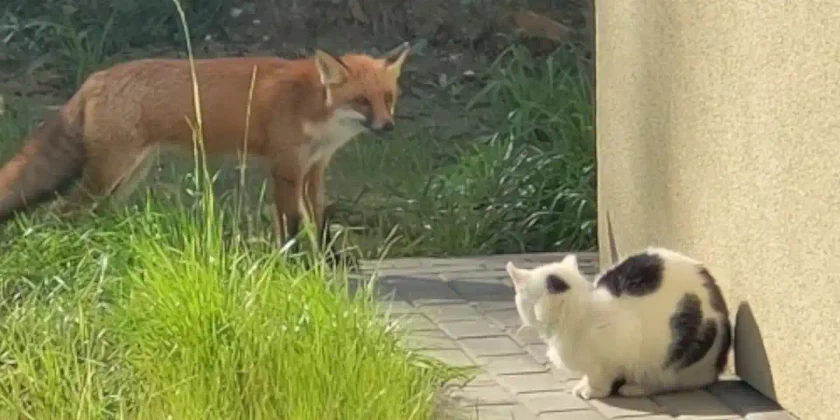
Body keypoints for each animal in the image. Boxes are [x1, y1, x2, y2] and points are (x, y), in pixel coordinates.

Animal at [0, 42, 411, 248]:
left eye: (387, 99)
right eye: (361, 101)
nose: (388, 126)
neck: (312, 106)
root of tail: (95, 78)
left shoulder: (314, 170)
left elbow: (321, 223)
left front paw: (328, 265)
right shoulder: (285, 168)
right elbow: (290, 224)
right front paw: (291, 267)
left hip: (129, 175)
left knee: (93, 213)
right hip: (109, 174)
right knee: (62, 212)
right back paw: (70, 250)